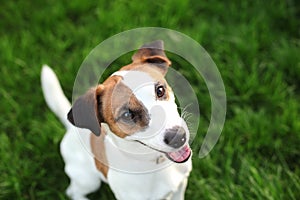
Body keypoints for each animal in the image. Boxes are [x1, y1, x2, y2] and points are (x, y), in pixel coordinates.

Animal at [41, 41, 192, 200]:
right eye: (127, 115)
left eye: (160, 90)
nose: (179, 137)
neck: (154, 162)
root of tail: (72, 129)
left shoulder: (180, 186)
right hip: (88, 180)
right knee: (72, 191)